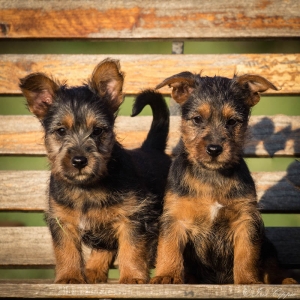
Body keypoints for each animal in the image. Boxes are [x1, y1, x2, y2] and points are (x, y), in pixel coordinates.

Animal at [20, 58, 171, 284]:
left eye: (98, 131)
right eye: (61, 131)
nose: (79, 160)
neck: (87, 188)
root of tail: (153, 148)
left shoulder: (133, 217)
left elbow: (132, 248)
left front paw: (132, 277)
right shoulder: (62, 221)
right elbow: (66, 250)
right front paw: (69, 276)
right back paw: (92, 271)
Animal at [151, 72, 296, 284]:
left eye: (232, 121)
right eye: (197, 119)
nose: (214, 149)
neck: (213, 177)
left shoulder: (246, 220)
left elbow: (246, 254)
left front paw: (248, 280)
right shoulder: (174, 217)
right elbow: (169, 248)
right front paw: (167, 275)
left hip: (267, 245)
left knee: (272, 264)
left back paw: (286, 279)